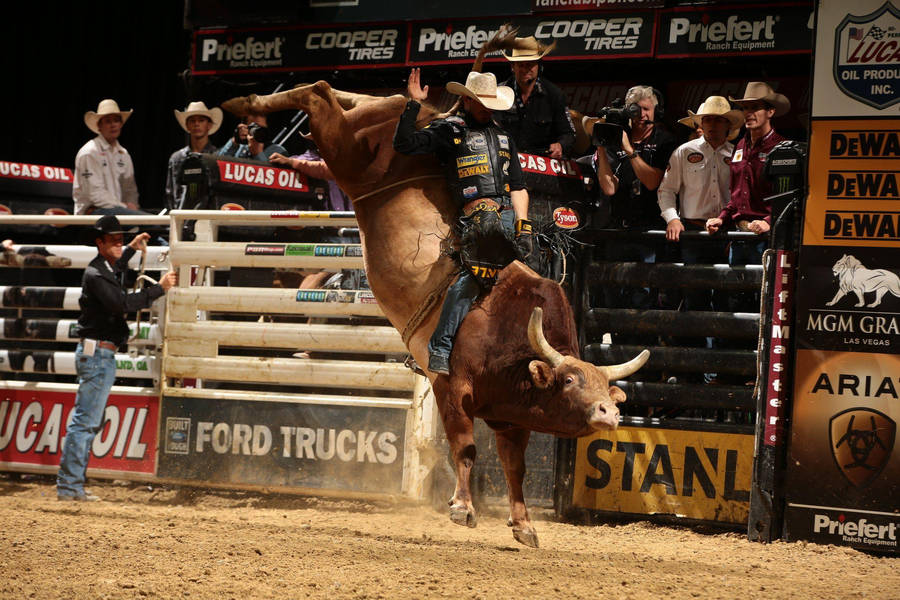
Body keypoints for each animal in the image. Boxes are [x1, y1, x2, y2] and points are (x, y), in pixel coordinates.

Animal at [221, 32, 648, 548]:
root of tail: (432, 117)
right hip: (349, 150)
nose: (609, 413)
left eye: (607, 386)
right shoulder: (450, 386)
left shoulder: (510, 418)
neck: (509, 336)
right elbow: (464, 449)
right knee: (320, 94)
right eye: (570, 381)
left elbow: (516, 467)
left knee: (346, 96)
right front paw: (462, 507)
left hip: (363, 126)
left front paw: (523, 525)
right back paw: (246, 103)